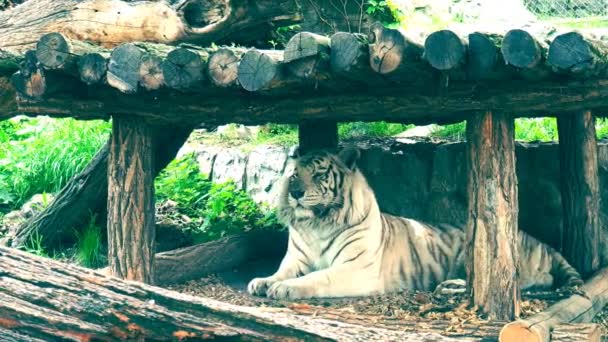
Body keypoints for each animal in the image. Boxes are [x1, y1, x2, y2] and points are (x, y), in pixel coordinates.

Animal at [248, 147, 584, 300]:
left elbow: (318, 277)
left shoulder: (355, 268)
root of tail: (544, 244)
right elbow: (281, 271)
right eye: (295, 174)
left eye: (318, 174)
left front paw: (283, 288)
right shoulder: (296, 259)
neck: (317, 225)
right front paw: (263, 281)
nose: (295, 193)